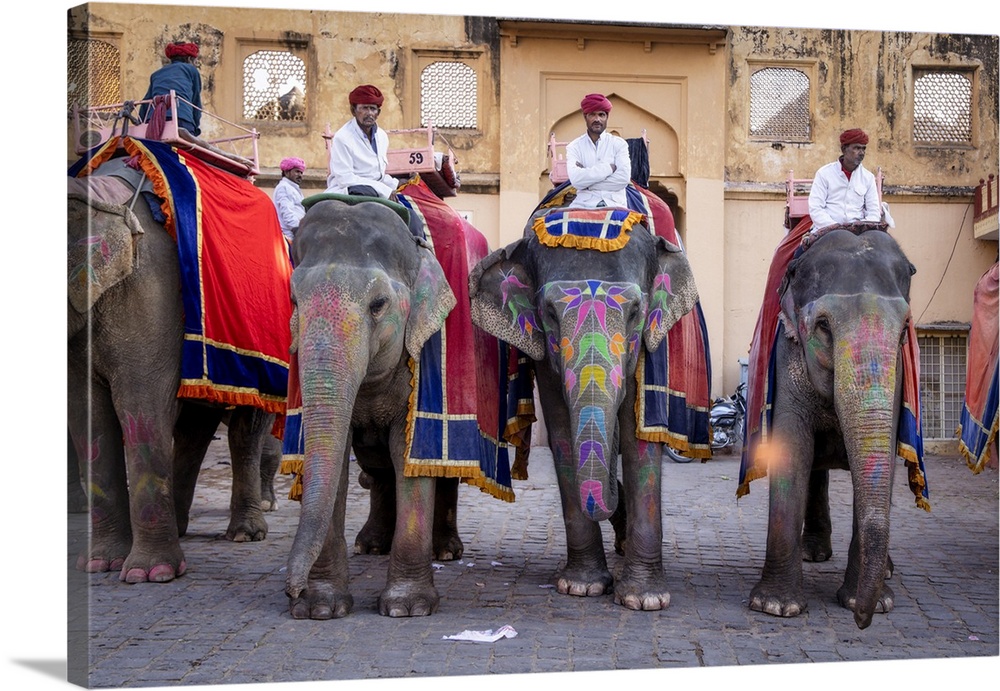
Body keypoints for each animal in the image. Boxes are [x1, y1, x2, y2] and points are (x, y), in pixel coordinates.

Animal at [67, 174, 281, 584]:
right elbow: (89, 418)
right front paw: (99, 565)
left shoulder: (150, 292)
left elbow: (141, 404)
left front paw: (149, 574)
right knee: (194, 429)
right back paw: (181, 528)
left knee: (245, 430)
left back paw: (245, 533)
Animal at [283, 198, 458, 620]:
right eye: (294, 301)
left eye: (378, 305)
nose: (291, 591)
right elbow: (335, 461)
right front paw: (320, 608)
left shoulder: (419, 371)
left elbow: (408, 455)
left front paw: (407, 608)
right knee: (378, 471)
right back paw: (372, 545)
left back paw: (446, 551)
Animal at [468, 208, 699, 610]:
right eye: (548, 312)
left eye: (636, 311)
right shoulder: (545, 357)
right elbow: (561, 432)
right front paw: (581, 587)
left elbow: (640, 439)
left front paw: (645, 599)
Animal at [742, 226, 921, 629]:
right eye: (824, 326)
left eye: (905, 329)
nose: (861, 621)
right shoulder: (787, 355)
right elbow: (792, 450)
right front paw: (776, 606)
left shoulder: (898, 375)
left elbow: (882, 459)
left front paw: (874, 602)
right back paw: (814, 554)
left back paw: (883, 570)